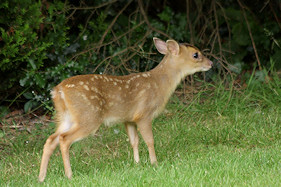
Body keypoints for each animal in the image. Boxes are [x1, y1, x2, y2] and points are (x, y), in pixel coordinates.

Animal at [37, 37, 212, 182]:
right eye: (196, 55)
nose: (211, 63)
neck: (160, 85)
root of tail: (58, 91)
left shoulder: (129, 119)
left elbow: (134, 141)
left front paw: (137, 163)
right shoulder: (144, 114)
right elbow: (149, 140)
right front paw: (154, 163)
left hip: (65, 117)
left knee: (51, 140)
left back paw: (41, 177)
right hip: (88, 116)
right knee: (64, 139)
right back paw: (69, 175)